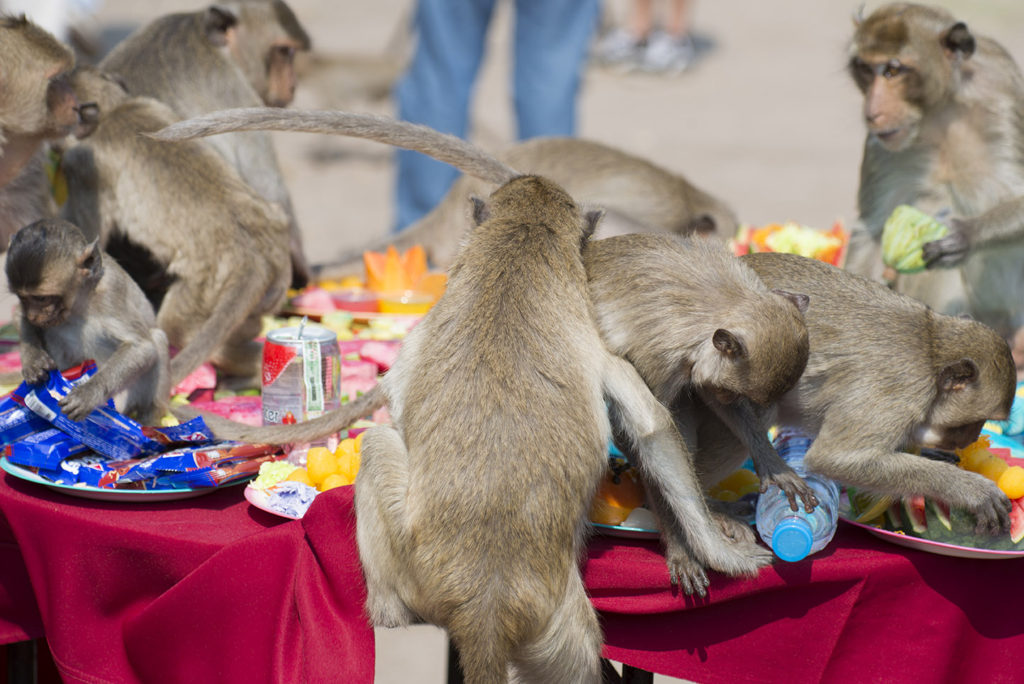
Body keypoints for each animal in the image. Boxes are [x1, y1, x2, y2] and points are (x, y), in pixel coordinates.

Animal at [4, 219, 168, 421]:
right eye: (23, 297)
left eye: (42, 298)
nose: (34, 316)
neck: (80, 299)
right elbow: (19, 315)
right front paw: (33, 359)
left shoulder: (111, 291)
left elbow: (142, 347)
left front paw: (88, 393)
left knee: (157, 337)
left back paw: (151, 420)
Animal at [60, 68, 292, 395]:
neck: (114, 109)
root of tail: (253, 255)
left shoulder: (83, 163)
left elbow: (89, 238)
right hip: (275, 278)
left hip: (204, 287)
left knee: (179, 329)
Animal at [356, 174, 770, 679]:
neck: (519, 248)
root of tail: (485, 603)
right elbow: (652, 426)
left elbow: (650, 428)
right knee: (376, 440)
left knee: (376, 440)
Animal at [741, 250, 1019, 532]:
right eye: (976, 421)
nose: (972, 439)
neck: (933, 350)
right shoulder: (900, 390)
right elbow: (834, 458)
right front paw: (972, 490)